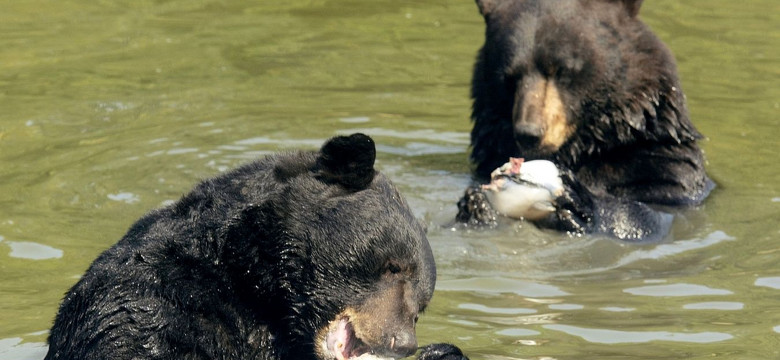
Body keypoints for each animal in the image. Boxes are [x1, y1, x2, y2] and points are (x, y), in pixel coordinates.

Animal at [460, 0, 716, 242]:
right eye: (509, 77)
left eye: (561, 70)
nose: (529, 133)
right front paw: (474, 205)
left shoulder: (661, 172)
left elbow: (649, 215)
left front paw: (576, 201)